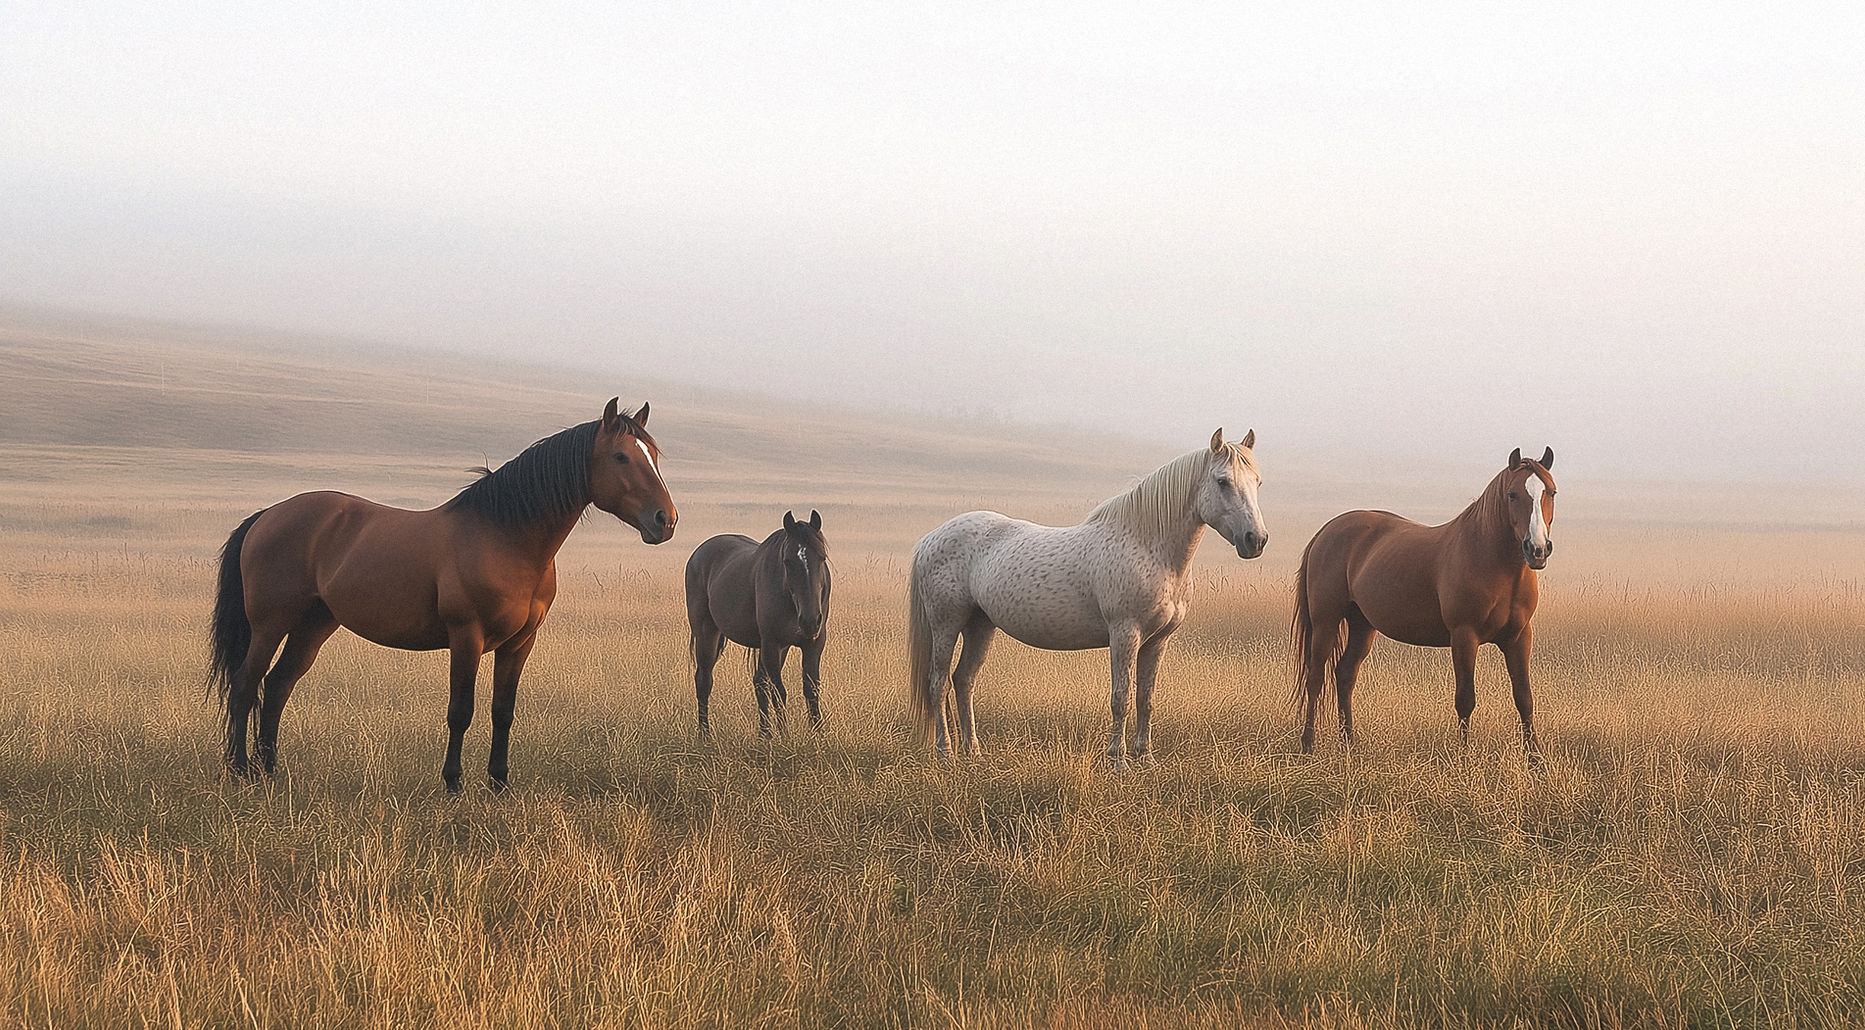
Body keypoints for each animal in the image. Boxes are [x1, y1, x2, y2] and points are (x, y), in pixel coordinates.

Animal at [207, 398, 676, 793]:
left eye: (653, 456)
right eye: (621, 456)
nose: (665, 520)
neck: (504, 539)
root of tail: (268, 514)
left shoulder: (520, 644)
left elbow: (503, 711)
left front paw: (500, 784)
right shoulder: (467, 638)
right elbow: (460, 711)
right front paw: (453, 783)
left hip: (314, 625)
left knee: (278, 685)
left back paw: (270, 770)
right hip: (271, 624)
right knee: (246, 685)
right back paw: (241, 771)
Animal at [684, 509, 831, 738]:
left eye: (822, 557)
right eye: (787, 561)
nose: (809, 621)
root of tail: (698, 554)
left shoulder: (813, 644)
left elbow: (811, 689)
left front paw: (817, 735)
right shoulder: (772, 644)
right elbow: (779, 691)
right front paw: (785, 735)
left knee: (759, 681)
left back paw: (764, 734)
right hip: (706, 634)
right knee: (704, 680)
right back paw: (704, 734)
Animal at [908, 429, 1268, 770]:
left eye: (1257, 482)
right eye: (1222, 481)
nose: (1256, 540)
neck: (1149, 548)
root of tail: (930, 538)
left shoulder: (1157, 641)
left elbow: (1146, 698)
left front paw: (1146, 757)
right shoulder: (1125, 634)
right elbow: (1121, 697)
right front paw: (1118, 760)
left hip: (980, 625)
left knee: (964, 680)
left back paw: (974, 752)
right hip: (947, 624)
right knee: (939, 683)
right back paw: (946, 752)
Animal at [1292, 447, 1557, 760]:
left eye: (1551, 492)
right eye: (1513, 494)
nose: (1537, 549)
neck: (1490, 559)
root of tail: (1325, 531)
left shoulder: (1519, 637)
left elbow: (1524, 698)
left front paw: (1536, 759)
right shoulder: (1464, 636)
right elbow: (1465, 699)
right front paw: (1463, 757)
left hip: (1362, 625)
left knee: (1344, 675)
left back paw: (1349, 744)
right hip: (1326, 622)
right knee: (1315, 678)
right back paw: (1308, 746)